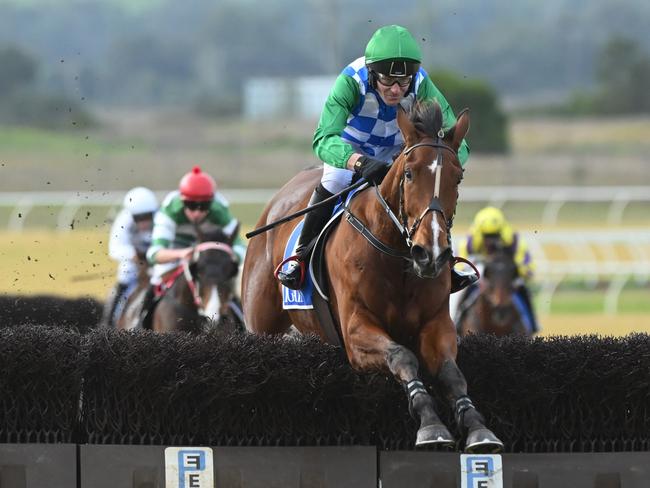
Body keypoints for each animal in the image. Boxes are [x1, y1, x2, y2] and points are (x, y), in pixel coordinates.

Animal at [243, 101, 502, 452]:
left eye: (457, 177)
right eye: (408, 174)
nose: (431, 253)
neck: (397, 257)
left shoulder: (437, 322)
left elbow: (451, 373)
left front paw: (477, 427)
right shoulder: (356, 331)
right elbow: (402, 357)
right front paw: (431, 425)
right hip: (261, 324)